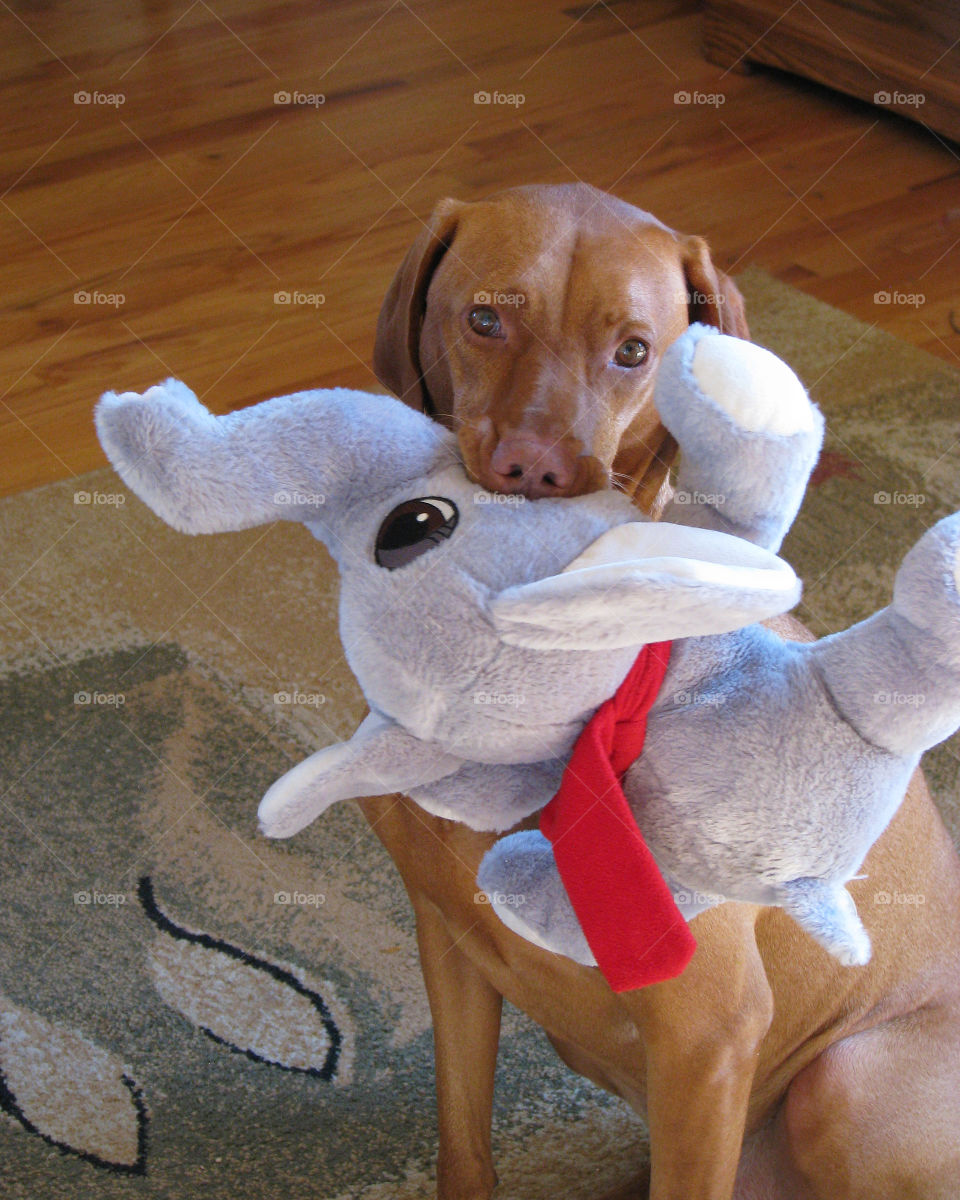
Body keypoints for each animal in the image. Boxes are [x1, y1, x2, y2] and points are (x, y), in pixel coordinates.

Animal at [362, 182, 960, 1195]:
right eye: (484, 319)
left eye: (634, 351)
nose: (535, 468)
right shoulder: (450, 942)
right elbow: (462, 1144)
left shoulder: (707, 1039)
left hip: (843, 1081)